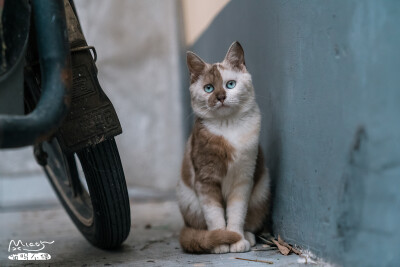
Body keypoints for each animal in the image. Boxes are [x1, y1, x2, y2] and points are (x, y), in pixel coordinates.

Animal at [178, 40, 272, 254]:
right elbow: (215, 215)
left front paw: (237, 240)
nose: (220, 97)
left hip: (261, 193)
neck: (228, 128)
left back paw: (247, 236)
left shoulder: (243, 179)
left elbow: (237, 213)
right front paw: (220, 242)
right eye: (208, 88)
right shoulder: (205, 180)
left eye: (230, 84)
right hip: (189, 201)